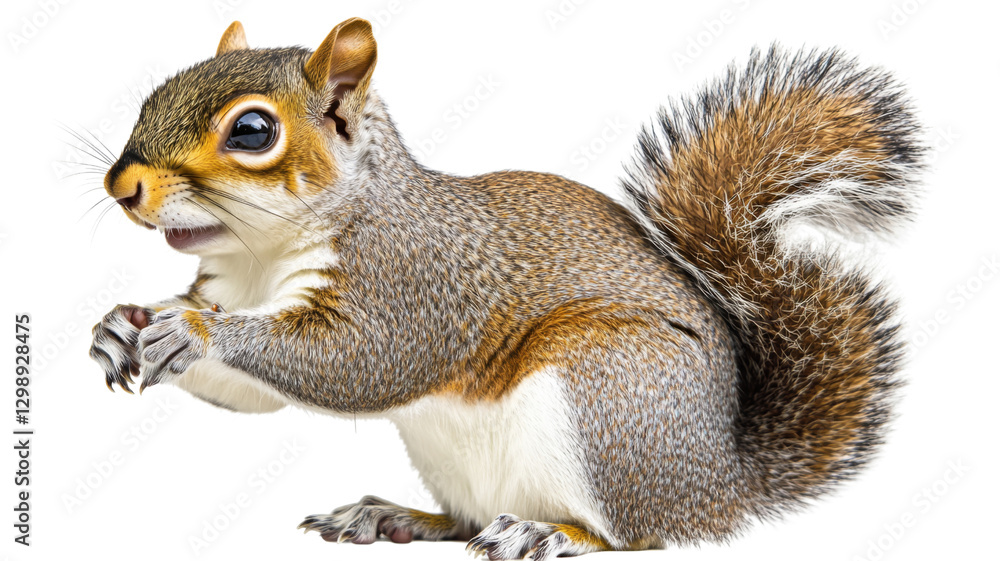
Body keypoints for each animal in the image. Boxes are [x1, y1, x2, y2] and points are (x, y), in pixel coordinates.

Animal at [89, 18, 923, 559]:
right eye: (155, 94)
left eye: (253, 132)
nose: (121, 186)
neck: (261, 254)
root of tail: (723, 480)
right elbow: (250, 393)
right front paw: (120, 325)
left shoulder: (414, 283)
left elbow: (360, 363)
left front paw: (194, 332)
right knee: (466, 519)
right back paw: (394, 517)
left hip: (606, 390)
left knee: (635, 534)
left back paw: (548, 531)